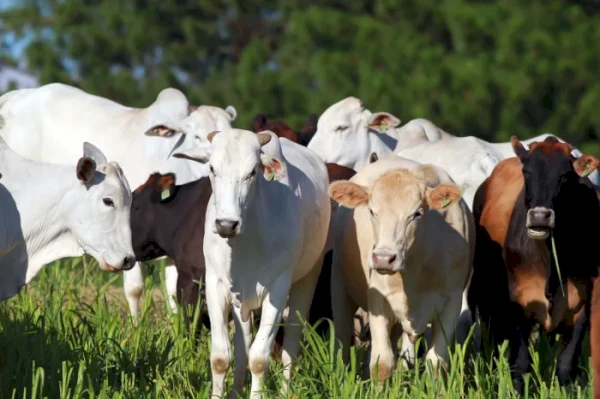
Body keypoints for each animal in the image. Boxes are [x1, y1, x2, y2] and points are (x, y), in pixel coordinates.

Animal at [171, 130, 330, 398]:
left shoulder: (277, 290)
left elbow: (259, 359)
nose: (226, 224)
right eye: (212, 168)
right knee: (242, 345)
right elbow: (221, 357)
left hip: (308, 278)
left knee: (290, 345)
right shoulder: (216, 285)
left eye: (252, 172)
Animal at [328, 154, 474, 382]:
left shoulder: (452, 302)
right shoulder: (378, 301)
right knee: (342, 339)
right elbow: (381, 363)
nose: (383, 258)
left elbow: (436, 363)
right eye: (372, 211)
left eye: (417, 213)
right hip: (340, 286)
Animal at [468, 137, 600, 394]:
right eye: (527, 173)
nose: (540, 216)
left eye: (564, 176)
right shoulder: (520, 304)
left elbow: (566, 366)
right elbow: (520, 364)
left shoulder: (582, 306)